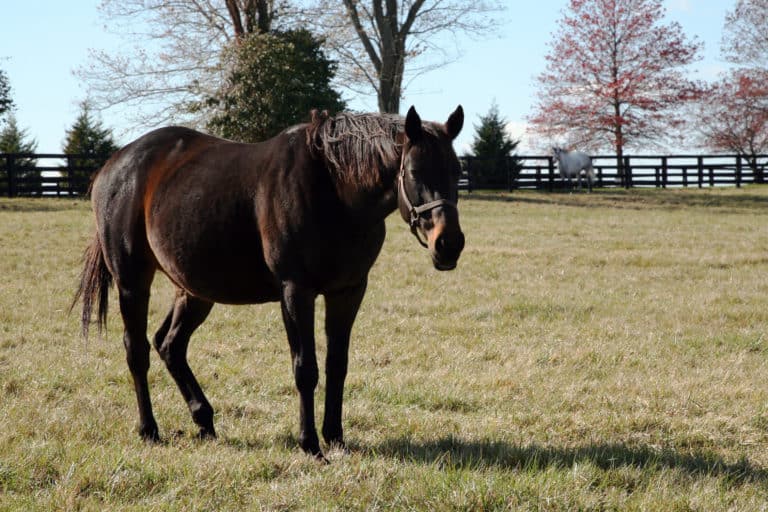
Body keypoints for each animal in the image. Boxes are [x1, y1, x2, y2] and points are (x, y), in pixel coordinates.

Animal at [75, 106, 464, 458]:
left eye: (457, 171)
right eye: (414, 171)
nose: (449, 244)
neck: (334, 190)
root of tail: (112, 167)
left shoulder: (348, 291)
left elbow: (337, 365)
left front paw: (336, 438)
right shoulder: (295, 291)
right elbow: (306, 368)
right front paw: (310, 444)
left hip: (194, 291)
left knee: (169, 344)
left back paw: (204, 420)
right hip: (132, 282)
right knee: (137, 350)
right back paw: (149, 429)